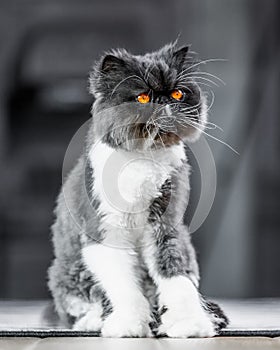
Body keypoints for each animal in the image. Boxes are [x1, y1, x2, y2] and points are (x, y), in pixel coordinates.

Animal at [47, 42, 228, 338]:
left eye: (177, 93)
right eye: (142, 98)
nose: (163, 104)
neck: (144, 157)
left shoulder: (166, 227)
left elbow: (176, 278)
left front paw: (190, 324)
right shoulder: (105, 232)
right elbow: (123, 287)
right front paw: (129, 325)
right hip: (68, 274)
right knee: (81, 304)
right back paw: (95, 321)